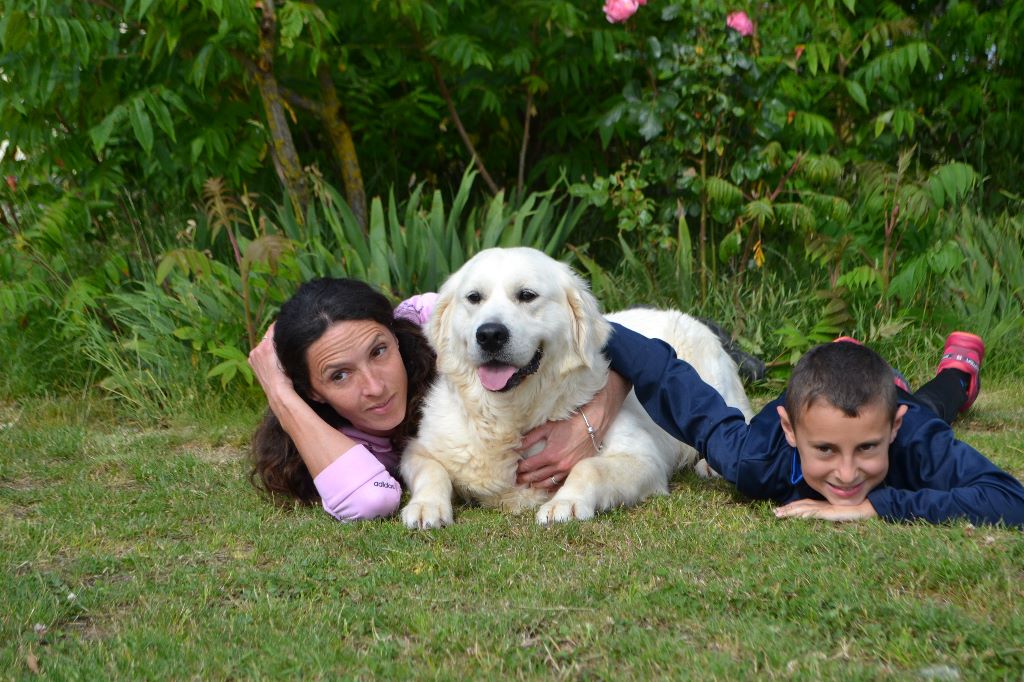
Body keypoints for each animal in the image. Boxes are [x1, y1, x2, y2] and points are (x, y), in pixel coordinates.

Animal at [399, 245, 753, 524]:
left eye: (526, 295)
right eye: (474, 298)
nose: (489, 334)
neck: (509, 418)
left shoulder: (643, 460)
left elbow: (589, 467)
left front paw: (566, 502)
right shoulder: (419, 448)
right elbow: (432, 470)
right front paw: (426, 506)